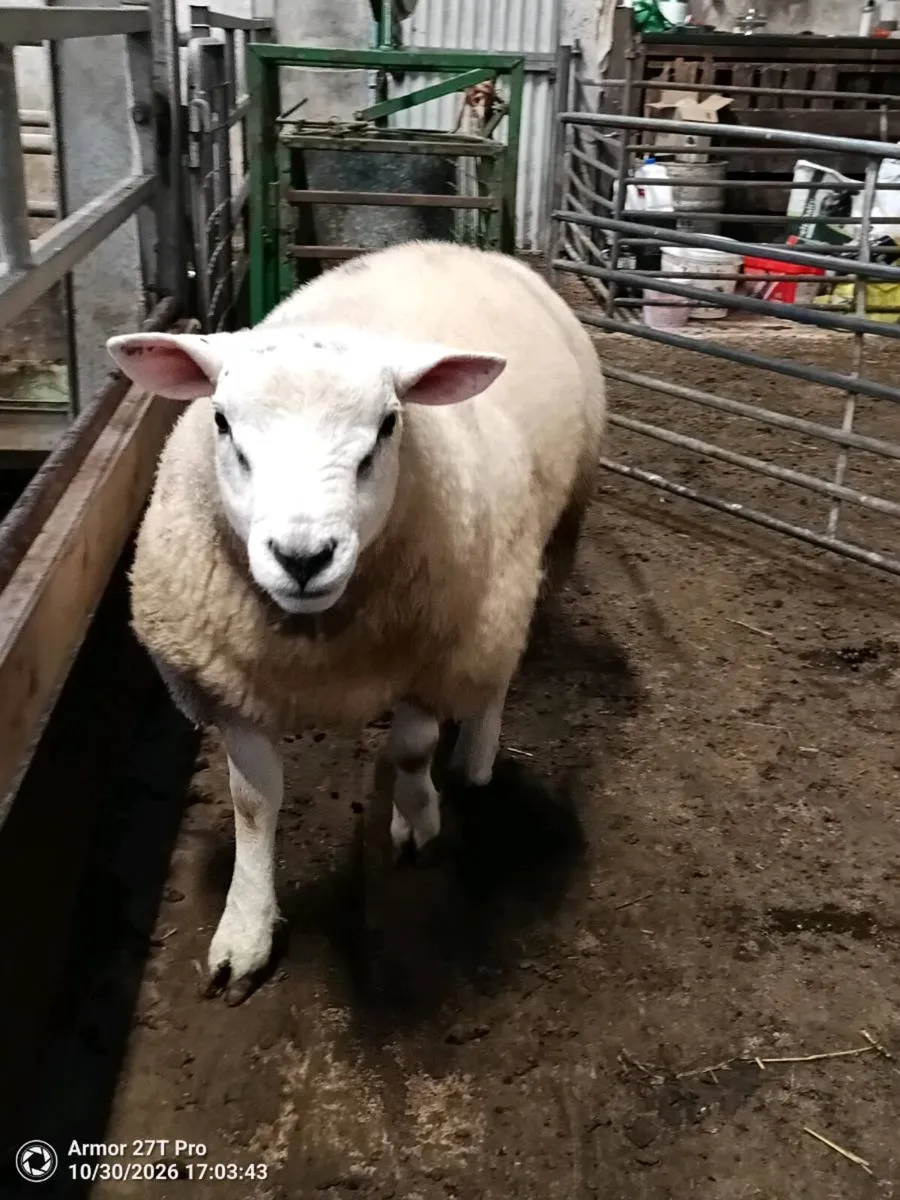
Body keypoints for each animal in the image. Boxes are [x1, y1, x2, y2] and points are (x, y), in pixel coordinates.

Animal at [106, 239, 607, 1004]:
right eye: (221, 421)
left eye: (388, 425)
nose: (303, 556)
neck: (321, 648)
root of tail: (454, 247)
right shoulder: (227, 685)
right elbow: (253, 803)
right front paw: (245, 933)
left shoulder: (440, 650)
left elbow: (410, 750)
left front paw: (419, 817)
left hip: (525, 566)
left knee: (497, 672)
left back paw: (475, 758)